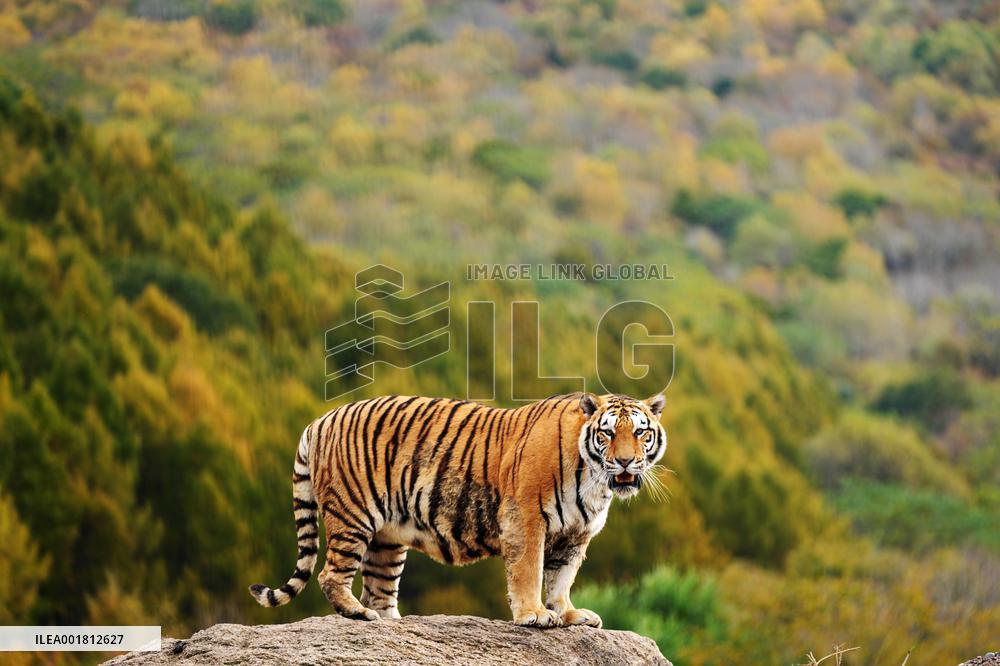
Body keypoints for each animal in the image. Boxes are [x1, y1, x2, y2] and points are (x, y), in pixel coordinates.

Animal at [249, 391, 667, 627]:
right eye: (608, 432)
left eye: (641, 432)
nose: (626, 462)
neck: (595, 481)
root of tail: (319, 420)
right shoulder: (526, 520)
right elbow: (529, 573)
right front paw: (534, 615)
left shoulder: (575, 535)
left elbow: (561, 580)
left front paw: (569, 614)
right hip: (352, 515)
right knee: (330, 575)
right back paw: (358, 615)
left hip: (387, 538)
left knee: (379, 588)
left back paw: (391, 623)